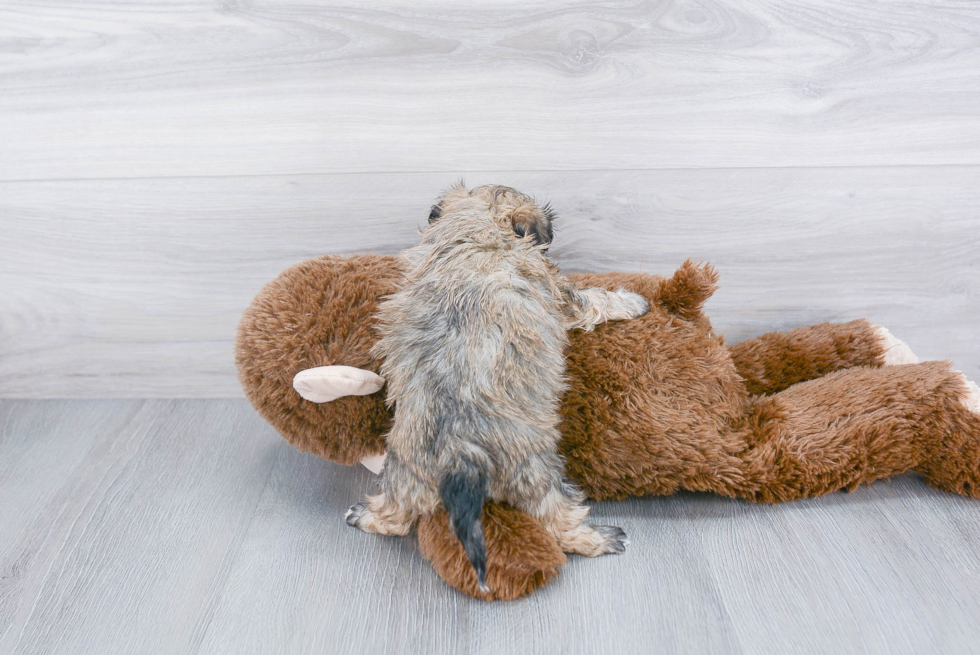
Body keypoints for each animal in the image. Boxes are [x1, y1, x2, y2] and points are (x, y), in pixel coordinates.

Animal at [346, 183, 652, 588]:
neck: (476, 231)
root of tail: (459, 455)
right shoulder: (563, 295)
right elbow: (595, 299)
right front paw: (632, 301)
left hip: (406, 473)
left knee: (395, 517)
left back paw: (366, 515)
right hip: (535, 472)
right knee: (558, 522)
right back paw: (601, 538)